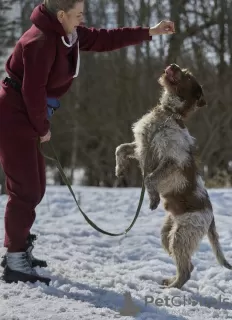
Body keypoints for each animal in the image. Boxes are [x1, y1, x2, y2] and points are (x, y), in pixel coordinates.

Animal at [114, 63, 232, 288]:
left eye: (187, 75)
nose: (173, 65)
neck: (169, 113)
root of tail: (211, 216)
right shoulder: (142, 147)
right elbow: (121, 148)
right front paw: (120, 169)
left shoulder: (172, 161)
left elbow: (149, 178)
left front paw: (152, 199)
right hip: (168, 233)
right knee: (188, 265)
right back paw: (170, 281)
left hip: (181, 236)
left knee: (186, 270)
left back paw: (172, 288)